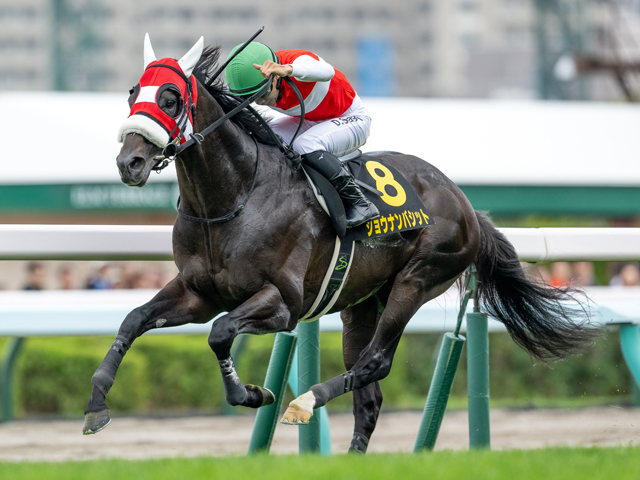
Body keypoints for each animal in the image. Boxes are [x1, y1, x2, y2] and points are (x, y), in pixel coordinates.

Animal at [82, 38, 596, 454]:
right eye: (133, 93)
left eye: (170, 97)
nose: (130, 161)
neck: (234, 197)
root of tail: (466, 204)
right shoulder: (198, 293)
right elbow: (134, 320)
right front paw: (96, 404)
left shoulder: (282, 303)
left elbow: (221, 333)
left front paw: (256, 394)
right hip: (360, 303)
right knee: (369, 393)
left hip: (418, 278)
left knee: (376, 363)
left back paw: (305, 401)